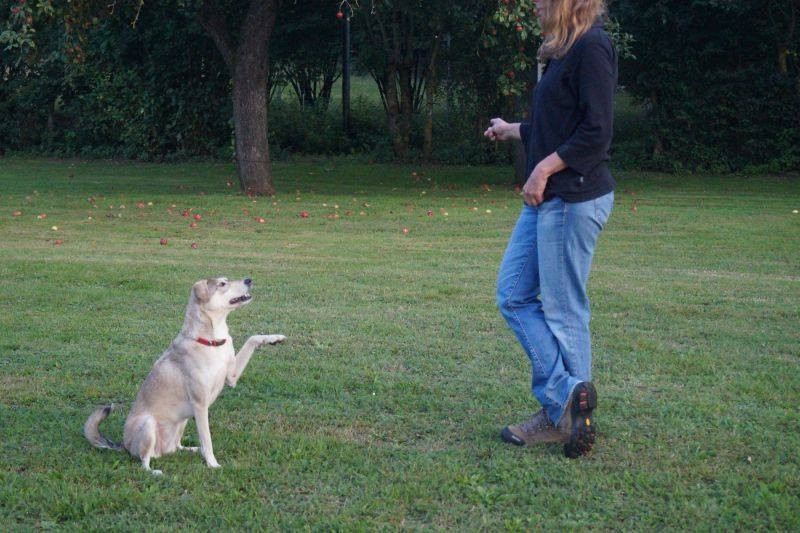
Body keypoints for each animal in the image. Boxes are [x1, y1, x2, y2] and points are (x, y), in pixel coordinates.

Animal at [83, 276, 284, 472]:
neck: (212, 341)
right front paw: (213, 464)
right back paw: (156, 472)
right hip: (148, 424)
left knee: (176, 447)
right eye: (222, 283)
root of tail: (123, 445)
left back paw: (193, 449)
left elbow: (252, 338)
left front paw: (274, 338)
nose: (249, 280)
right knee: (144, 461)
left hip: (183, 421)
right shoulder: (200, 405)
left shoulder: (231, 377)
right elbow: (207, 439)